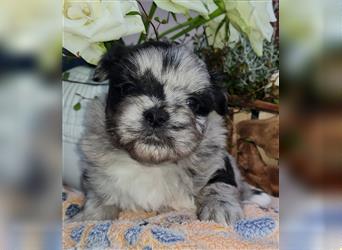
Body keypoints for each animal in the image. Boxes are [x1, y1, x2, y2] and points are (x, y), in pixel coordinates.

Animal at [75, 41, 270, 225]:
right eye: (129, 88)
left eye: (192, 102)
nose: (156, 116)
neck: (152, 165)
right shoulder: (96, 174)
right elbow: (100, 196)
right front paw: (91, 216)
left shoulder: (219, 160)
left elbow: (220, 182)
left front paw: (220, 207)